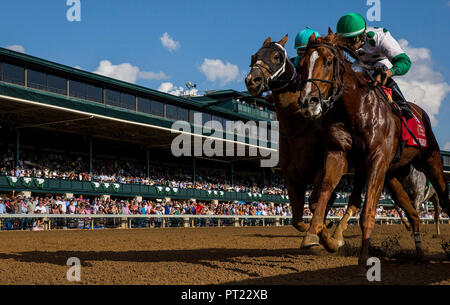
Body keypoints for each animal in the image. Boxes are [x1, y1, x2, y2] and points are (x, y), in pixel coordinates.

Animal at [298, 29, 448, 266]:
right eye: (302, 64)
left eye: (329, 61)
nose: (308, 102)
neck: (355, 108)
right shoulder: (339, 153)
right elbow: (324, 192)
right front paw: (317, 235)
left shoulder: (376, 159)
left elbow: (367, 211)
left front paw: (363, 258)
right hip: (394, 176)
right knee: (414, 214)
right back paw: (419, 253)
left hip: (431, 161)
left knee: (442, 197)